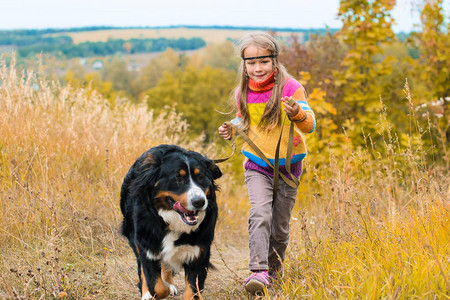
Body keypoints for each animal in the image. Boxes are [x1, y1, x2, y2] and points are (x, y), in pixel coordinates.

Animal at [119, 144, 221, 298]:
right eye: (178, 179)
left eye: (201, 177)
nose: (199, 201)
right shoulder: (147, 245)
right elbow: (157, 285)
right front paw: (154, 290)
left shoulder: (199, 252)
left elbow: (192, 290)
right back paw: (147, 294)